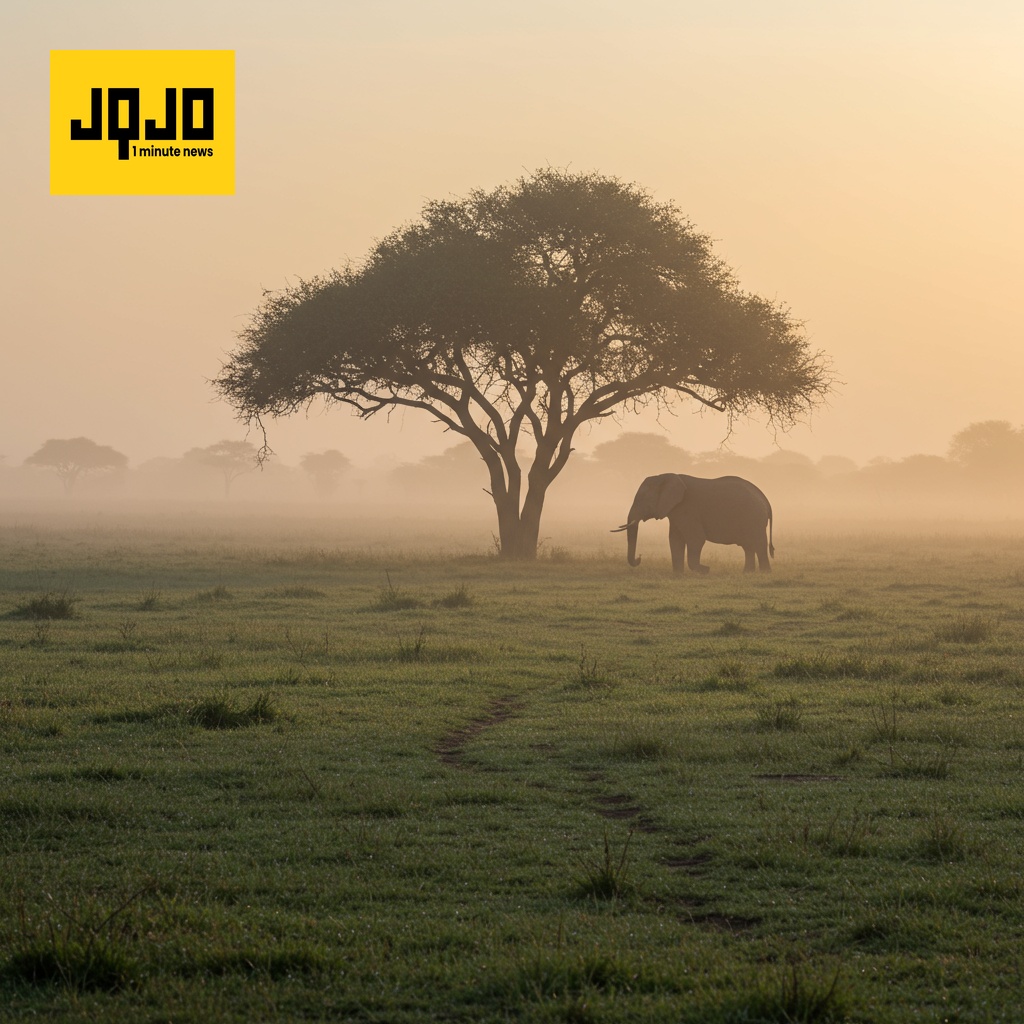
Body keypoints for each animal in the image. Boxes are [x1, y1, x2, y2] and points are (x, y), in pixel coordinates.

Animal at [611, 474, 774, 573]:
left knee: (758, 544)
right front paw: (678, 575)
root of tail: (765, 499)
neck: (665, 476)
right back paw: (747, 573)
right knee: (748, 546)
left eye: (642, 500)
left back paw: (764, 574)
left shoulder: (688, 509)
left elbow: (696, 539)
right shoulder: (676, 512)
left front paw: (706, 570)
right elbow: (675, 540)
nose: (639, 557)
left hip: (754, 518)